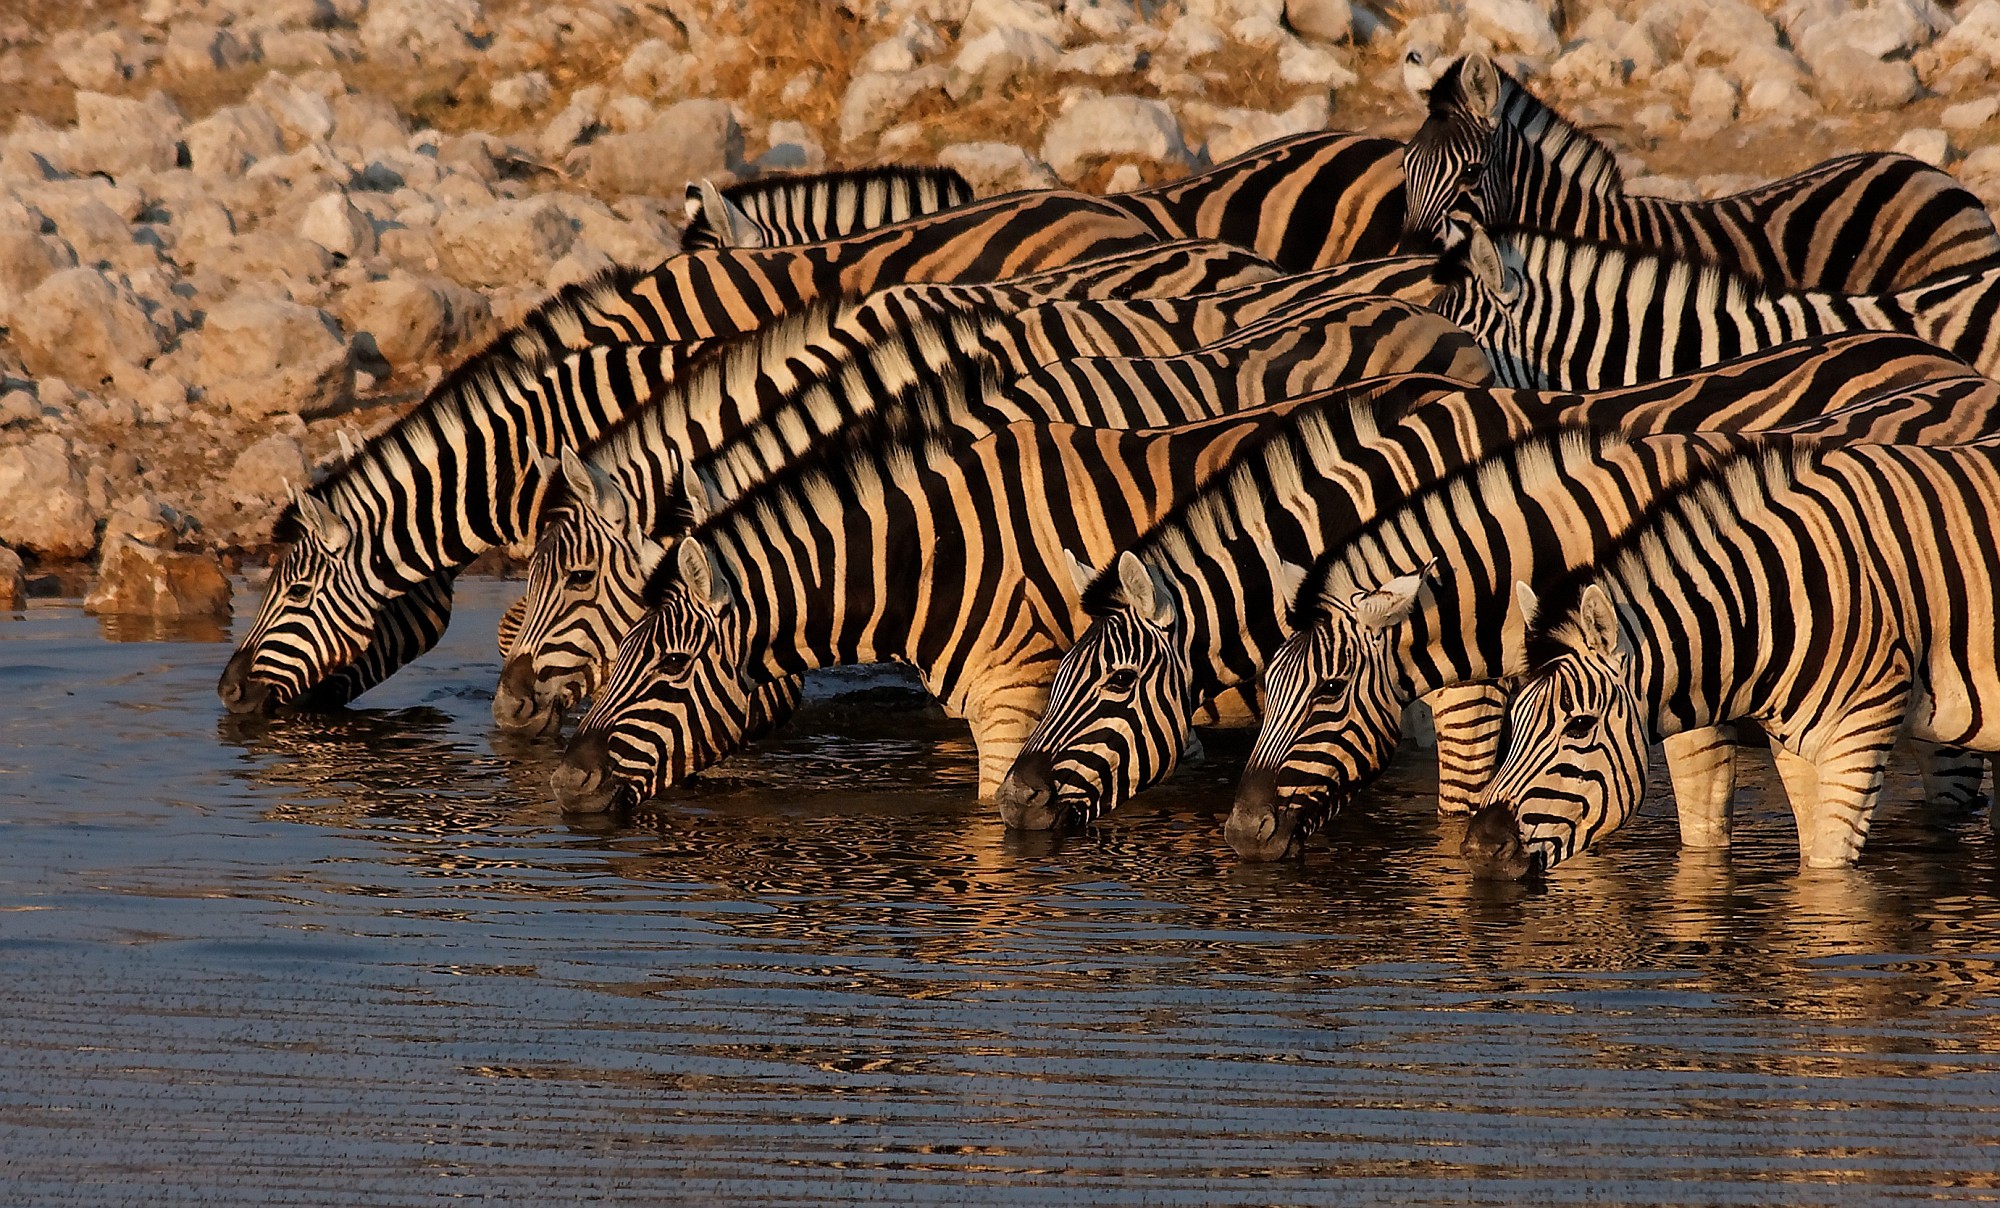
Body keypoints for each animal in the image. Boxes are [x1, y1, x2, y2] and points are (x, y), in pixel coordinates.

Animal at [1472, 434, 2000, 876]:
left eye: (1579, 726)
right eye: (1513, 719)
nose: (1479, 845)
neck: (1774, 604)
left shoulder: (1857, 738)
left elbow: (1831, 876)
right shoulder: (1799, 751)